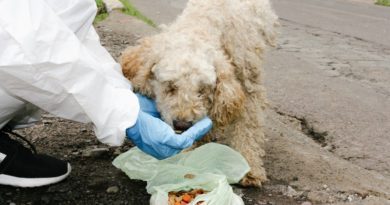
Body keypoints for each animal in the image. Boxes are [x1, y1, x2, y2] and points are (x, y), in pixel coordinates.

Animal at [121, 0, 278, 187]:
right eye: (170, 87)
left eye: (201, 91)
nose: (181, 125)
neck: (204, 23)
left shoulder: (248, 85)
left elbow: (248, 127)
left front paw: (249, 167)